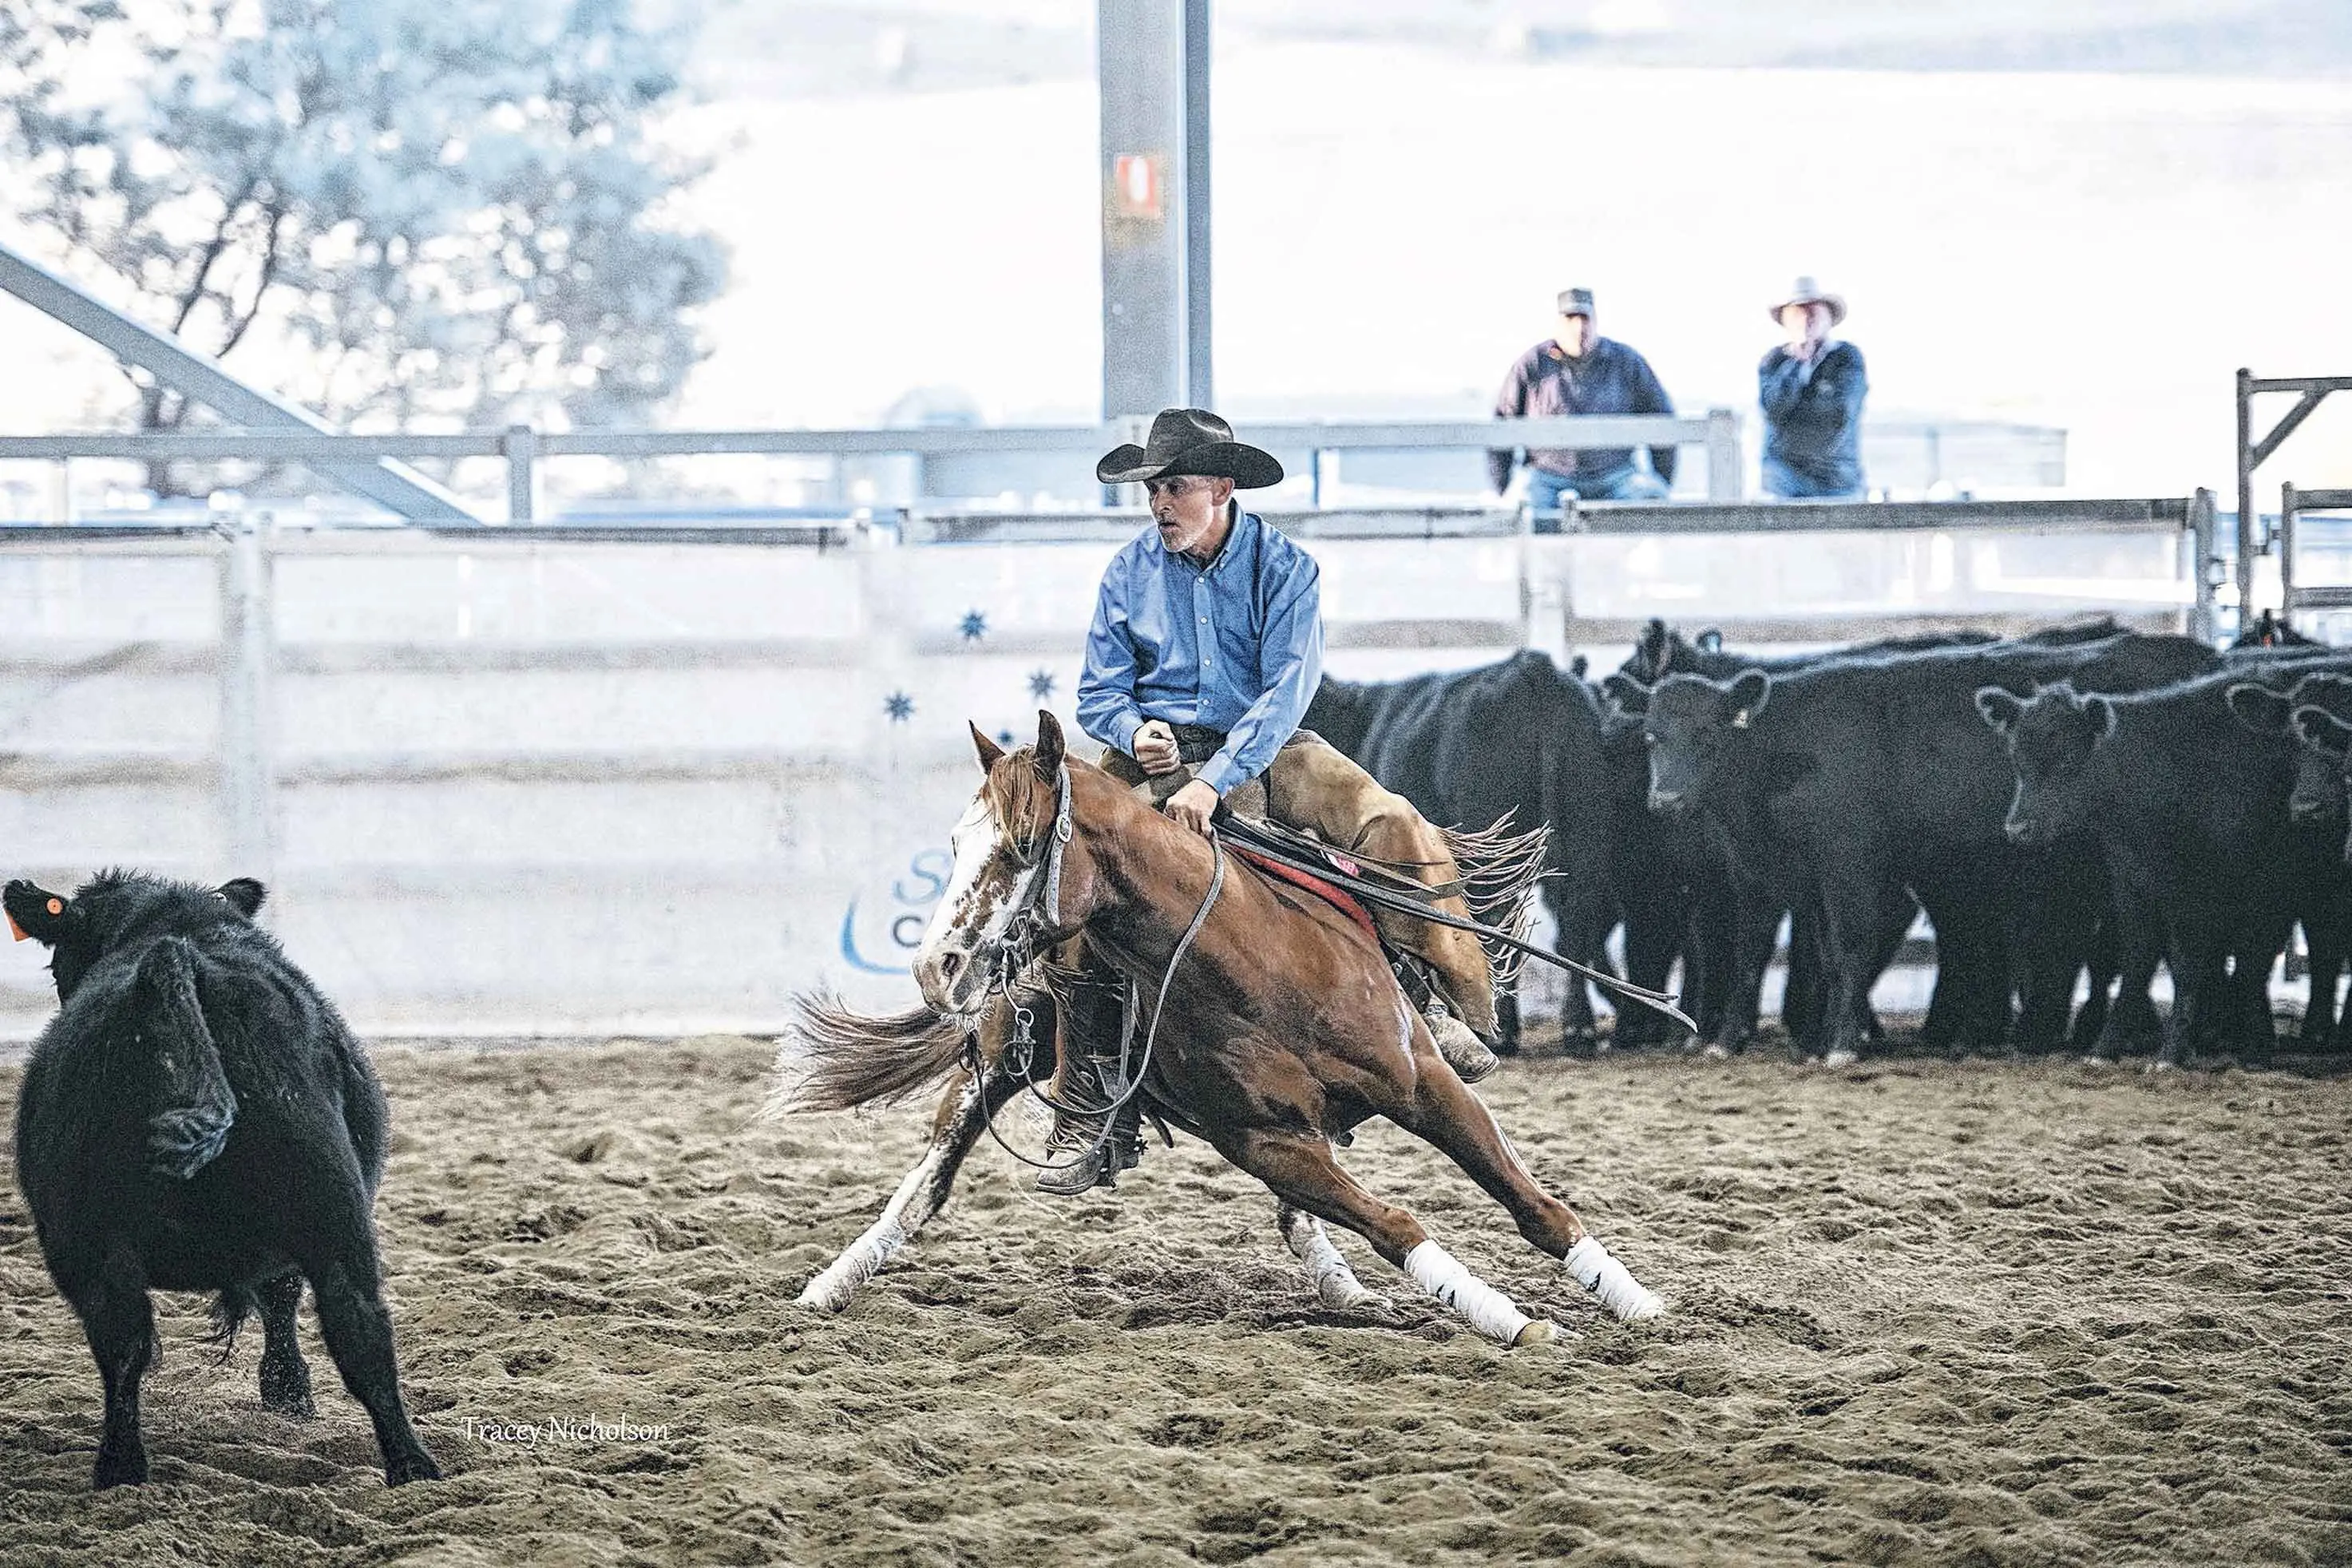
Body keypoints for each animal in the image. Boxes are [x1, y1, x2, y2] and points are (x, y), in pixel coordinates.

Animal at [771, 712, 1664, 1345]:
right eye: (955, 844)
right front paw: (1515, 1320)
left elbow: (1535, 1204)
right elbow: (1397, 1223)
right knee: (928, 1182)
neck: (1253, 954)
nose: (937, 966)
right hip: (998, 1056)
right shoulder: (1263, 1140)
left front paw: (1637, 1302)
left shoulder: (1425, 1085)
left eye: (1022, 844)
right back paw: (829, 1284)